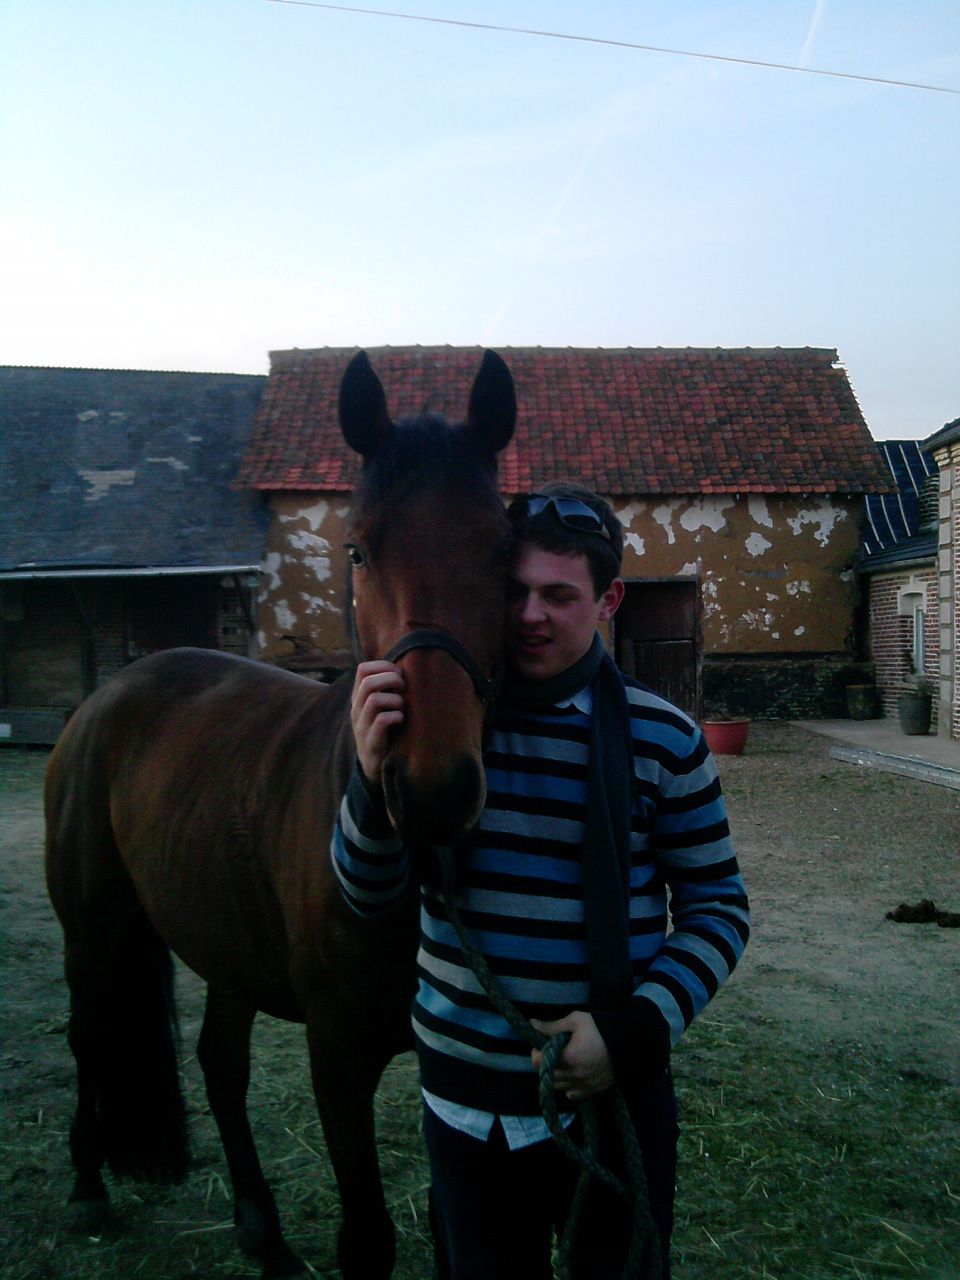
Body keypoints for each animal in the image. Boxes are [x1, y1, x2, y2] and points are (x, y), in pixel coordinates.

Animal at [44, 348, 517, 1279]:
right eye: (358, 549)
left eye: (499, 546)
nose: (432, 788)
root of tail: (107, 697)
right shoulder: (336, 1055)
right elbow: (367, 1238)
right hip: (94, 929)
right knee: (89, 1034)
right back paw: (84, 1187)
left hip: (224, 942)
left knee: (219, 1066)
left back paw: (261, 1232)